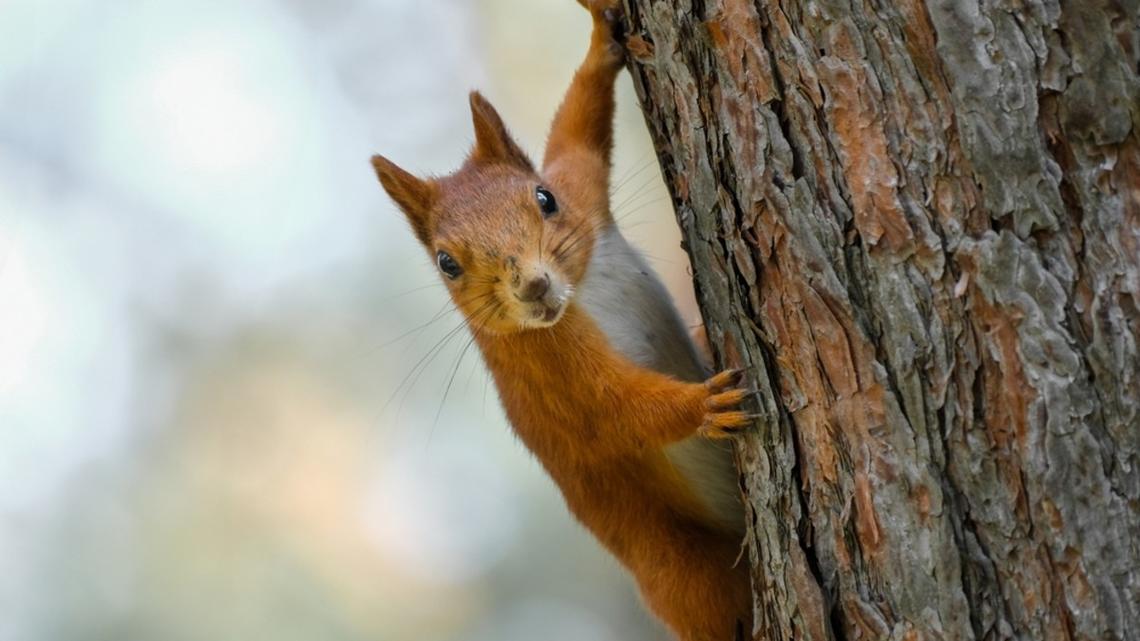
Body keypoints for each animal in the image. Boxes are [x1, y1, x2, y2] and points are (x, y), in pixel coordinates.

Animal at [371, 1, 754, 639]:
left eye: (544, 198)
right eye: (447, 263)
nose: (534, 286)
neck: (581, 293)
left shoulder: (583, 193)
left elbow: (578, 132)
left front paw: (601, 39)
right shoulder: (553, 376)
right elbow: (614, 412)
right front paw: (703, 407)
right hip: (688, 572)